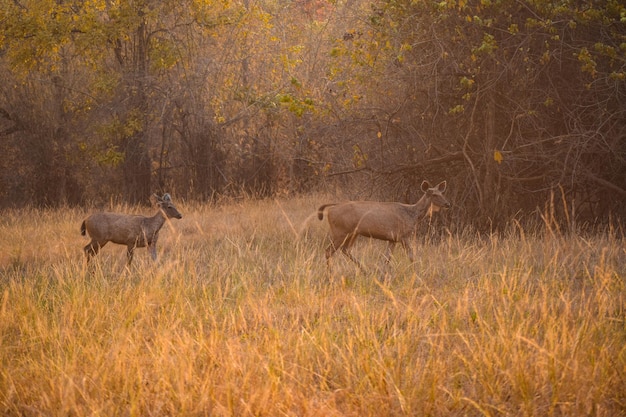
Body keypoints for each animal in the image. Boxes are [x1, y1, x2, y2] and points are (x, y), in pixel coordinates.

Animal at [316, 180, 448, 272]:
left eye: (442, 193)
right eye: (434, 195)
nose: (448, 204)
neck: (412, 215)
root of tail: (331, 209)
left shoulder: (393, 239)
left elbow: (386, 259)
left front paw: (382, 274)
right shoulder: (403, 235)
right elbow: (411, 256)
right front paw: (417, 272)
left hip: (353, 232)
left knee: (345, 249)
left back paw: (365, 271)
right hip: (340, 231)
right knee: (329, 251)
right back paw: (330, 274)